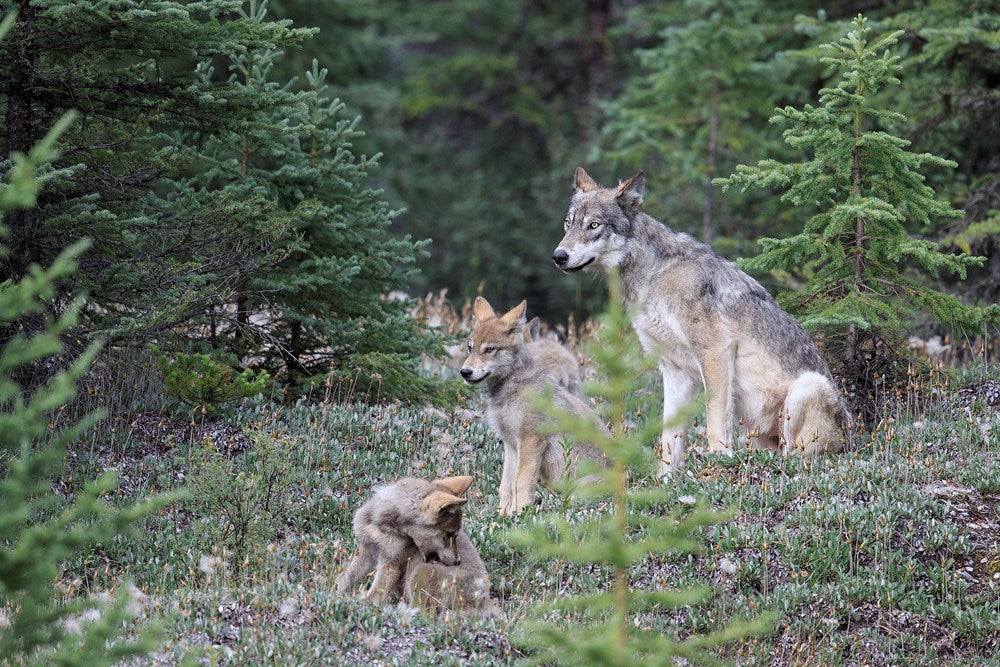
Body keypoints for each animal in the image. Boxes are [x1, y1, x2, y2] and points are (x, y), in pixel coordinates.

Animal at [335, 475, 472, 603]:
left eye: (454, 535)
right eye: (449, 535)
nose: (458, 561)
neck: (382, 525)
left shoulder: (390, 565)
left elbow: (373, 598)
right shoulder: (366, 550)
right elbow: (344, 580)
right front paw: (334, 597)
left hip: (417, 576)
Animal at [460, 297, 610, 515]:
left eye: (489, 349)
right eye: (470, 348)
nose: (465, 372)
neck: (510, 389)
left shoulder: (532, 440)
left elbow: (520, 482)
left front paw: (519, 512)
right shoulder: (511, 445)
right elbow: (506, 485)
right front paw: (502, 514)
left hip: (577, 490)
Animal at [553, 167, 850, 475]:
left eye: (593, 225)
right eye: (568, 224)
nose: (558, 256)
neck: (653, 275)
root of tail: (850, 440)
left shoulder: (714, 352)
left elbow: (714, 423)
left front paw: (720, 464)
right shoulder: (674, 370)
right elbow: (669, 437)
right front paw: (666, 479)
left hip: (807, 387)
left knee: (797, 458)